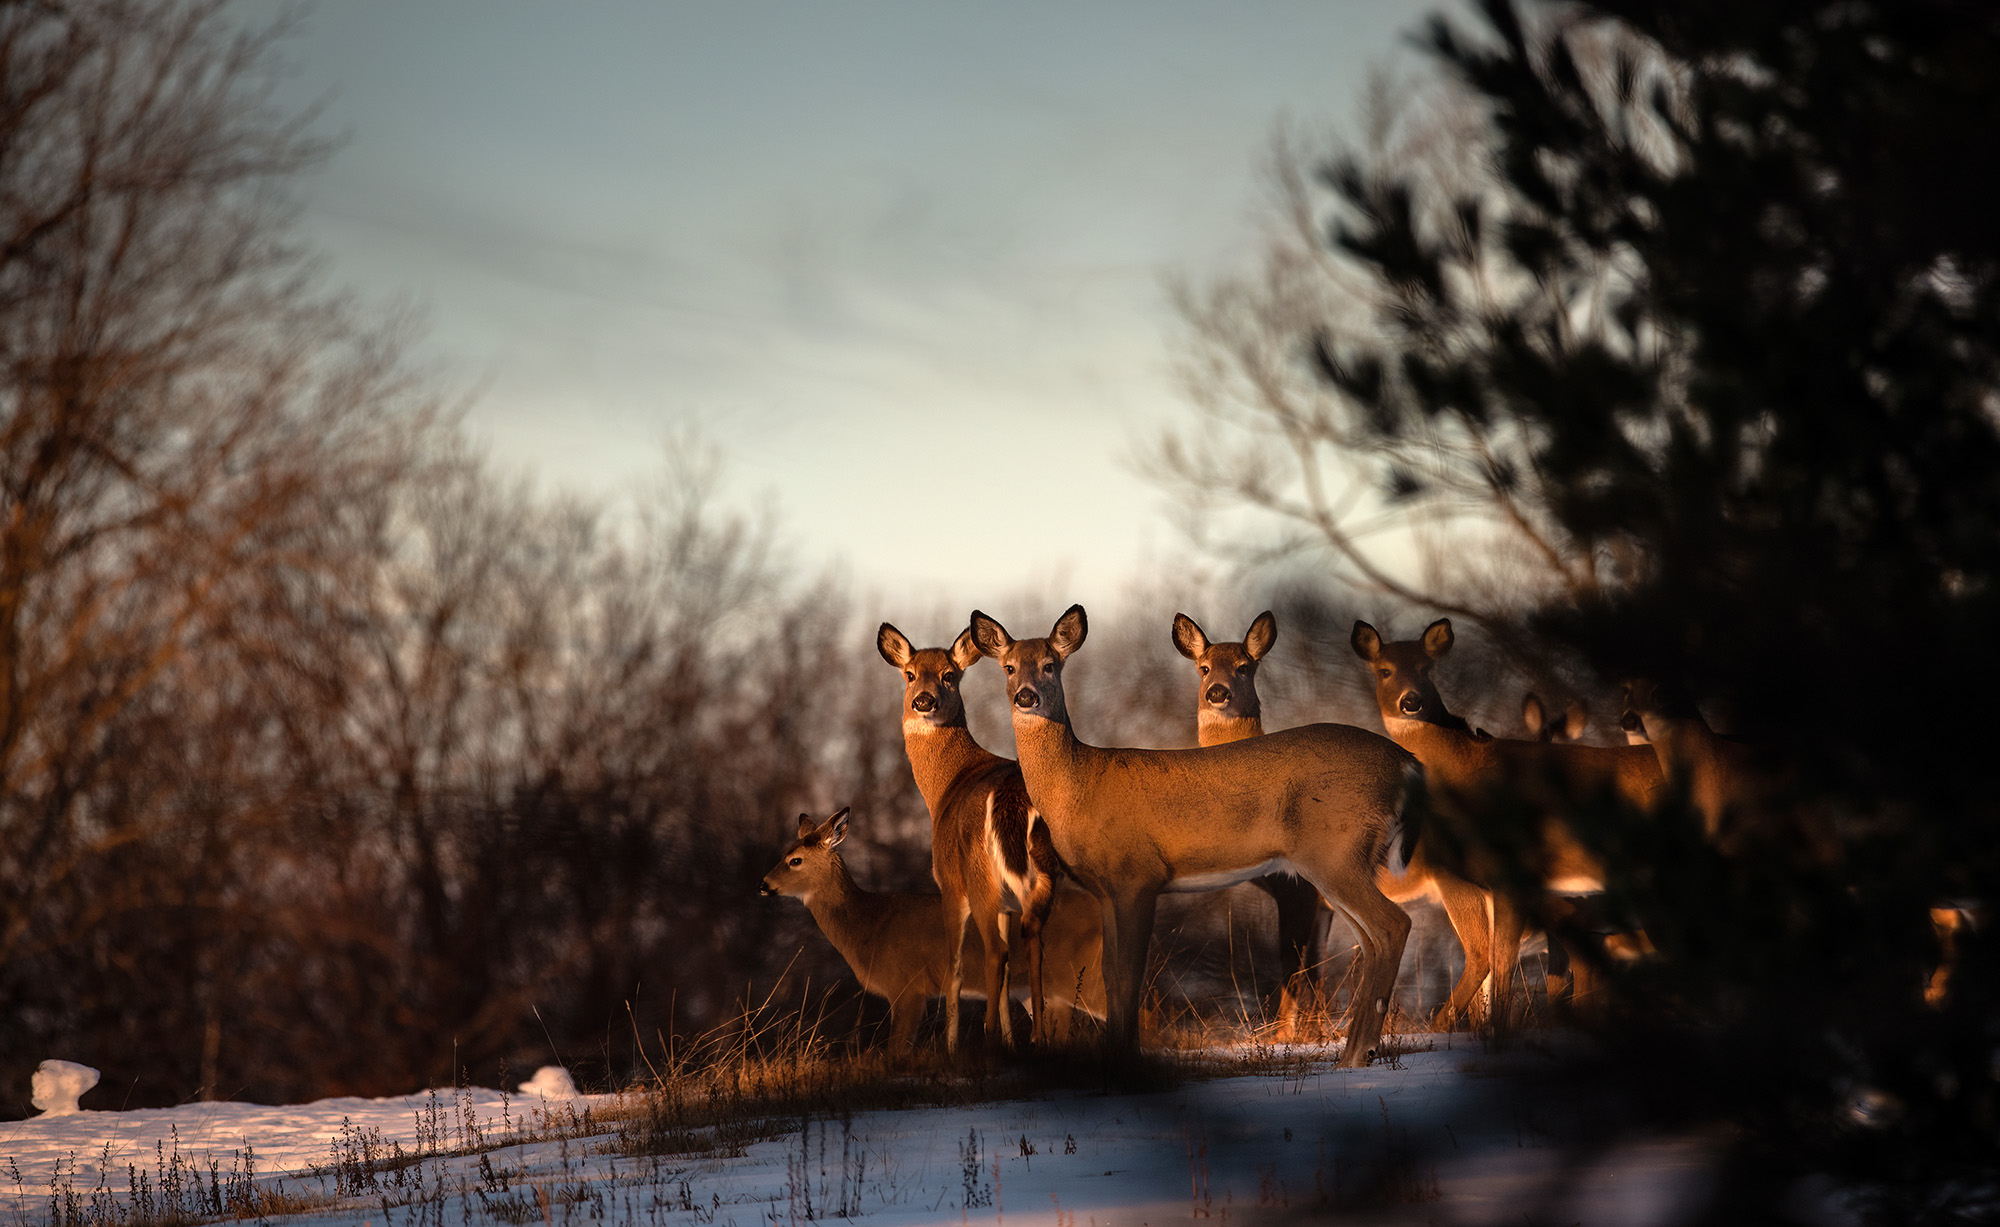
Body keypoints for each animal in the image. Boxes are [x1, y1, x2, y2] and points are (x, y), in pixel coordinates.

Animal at [760, 811, 1112, 1055]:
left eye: (795, 860)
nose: (764, 884)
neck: (869, 925)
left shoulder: (908, 986)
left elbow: (895, 1053)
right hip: (1042, 992)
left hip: (1085, 976)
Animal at [876, 623, 1064, 1055]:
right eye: (910, 674)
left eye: (950, 675)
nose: (924, 701)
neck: (945, 787)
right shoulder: (1009, 905)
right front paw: (1012, 1039)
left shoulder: (948, 884)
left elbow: (954, 968)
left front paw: (952, 1046)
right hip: (1045, 876)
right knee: (1032, 942)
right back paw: (1037, 1037)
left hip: (980, 878)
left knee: (995, 951)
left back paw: (988, 1036)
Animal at [972, 607, 1424, 1071]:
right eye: (1009, 667)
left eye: (1050, 665)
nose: (1026, 697)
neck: (1079, 783)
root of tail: (1406, 763)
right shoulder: (1107, 890)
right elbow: (1112, 975)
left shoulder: (1138, 876)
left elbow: (1129, 975)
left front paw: (1125, 1061)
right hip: (1343, 861)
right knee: (1370, 940)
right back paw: (1352, 1054)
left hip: (1335, 852)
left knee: (1393, 925)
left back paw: (1359, 1054)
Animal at [1168, 611, 1504, 1031]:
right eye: (1204, 667)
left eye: (1245, 667)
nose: (1217, 693)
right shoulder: (1321, 904)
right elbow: (1314, 970)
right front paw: (1310, 1030)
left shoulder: (1298, 889)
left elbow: (1293, 965)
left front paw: (1283, 1034)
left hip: (1455, 878)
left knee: (1481, 951)